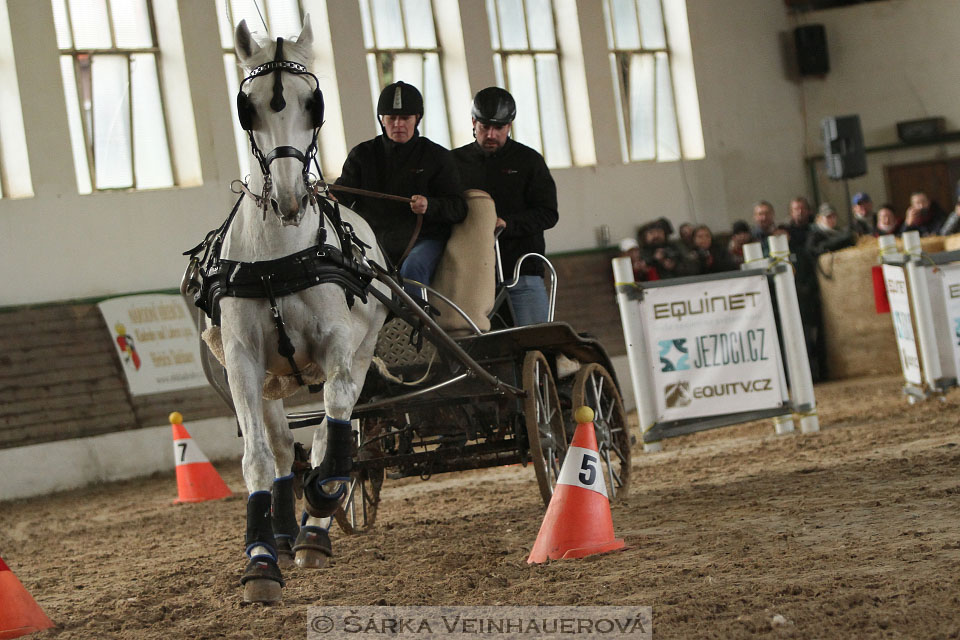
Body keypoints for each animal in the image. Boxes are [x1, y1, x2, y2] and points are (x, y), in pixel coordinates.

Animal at [214, 17, 386, 604]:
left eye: (314, 102)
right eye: (248, 106)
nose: (289, 198)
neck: (278, 261)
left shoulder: (338, 346)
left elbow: (335, 419)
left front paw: (326, 495)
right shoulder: (243, 362)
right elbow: (259, 458)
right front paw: (262, 558)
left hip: (364, 348)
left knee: (335, 425)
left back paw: (315, 526)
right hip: (271, 381)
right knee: (284, 447)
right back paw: (288, 534)